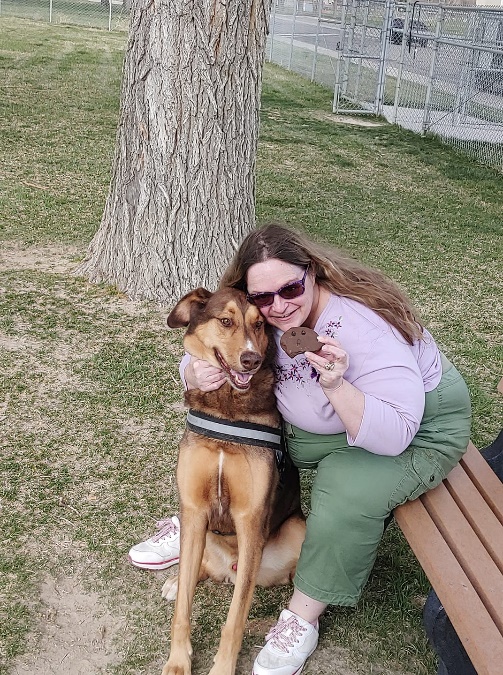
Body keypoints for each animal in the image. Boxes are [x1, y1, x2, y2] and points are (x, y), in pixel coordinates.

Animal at [161, 286, 308, 675]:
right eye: (226, 321)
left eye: (259, 325)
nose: (251, 359)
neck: (228, 408)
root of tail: (229, 568)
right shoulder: (194, 509)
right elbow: (183, 609)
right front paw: (178, 661)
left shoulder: (250, 520)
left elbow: (235, 618)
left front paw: (223, 668)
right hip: (196, 528)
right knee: (195, 570)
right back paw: (175, 580)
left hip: (295, 531)